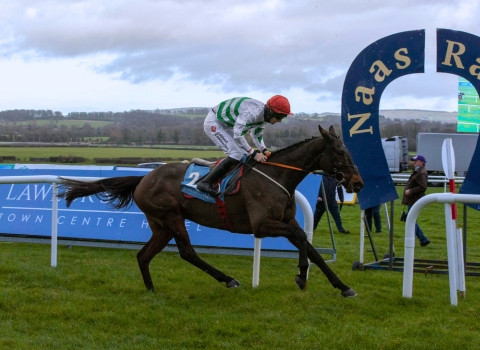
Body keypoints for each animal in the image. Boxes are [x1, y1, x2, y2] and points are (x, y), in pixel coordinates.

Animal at [58, 124, 364, 296]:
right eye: (339, 151)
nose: (358, 182)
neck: (277, 175)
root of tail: (143, 178)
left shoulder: (286, 221)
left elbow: (310, 248)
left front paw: (342, 286)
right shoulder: (262, 225)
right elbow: (302, 239)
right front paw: (301, 276)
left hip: (161, 225)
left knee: (143, 255)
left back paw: (151, 290)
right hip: (171, 216)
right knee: (187, 252)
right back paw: (228, 280)